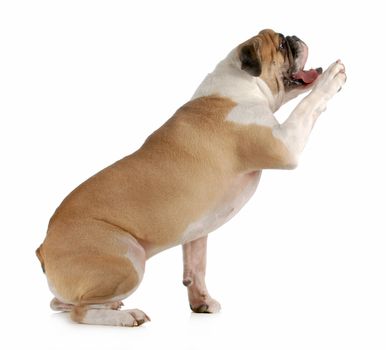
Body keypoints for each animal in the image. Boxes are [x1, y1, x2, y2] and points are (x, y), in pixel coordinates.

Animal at [36, 28, 346, 326]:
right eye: (281, 45)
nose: (294, 38)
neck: (243, 84)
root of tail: (44, 246)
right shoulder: (286, 143)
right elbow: (307, 106)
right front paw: (331, 77)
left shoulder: (197, 233)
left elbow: (196, 267)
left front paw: (201, 303)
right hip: (129, 258)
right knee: (80, 311)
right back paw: (126, 316)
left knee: (59, 302)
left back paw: (112, 305)